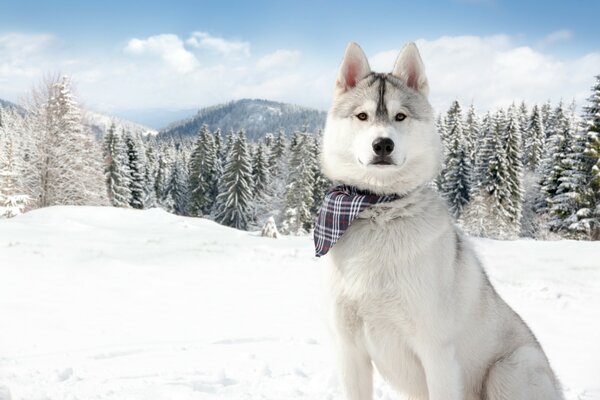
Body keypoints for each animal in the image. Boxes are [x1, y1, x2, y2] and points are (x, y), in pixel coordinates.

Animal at [322, 42, 560, 398]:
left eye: (400, 116)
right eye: (362, 116)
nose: (383, 144)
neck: (380, 210)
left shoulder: (437, 353)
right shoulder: (350, 351)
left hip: (511, 368)